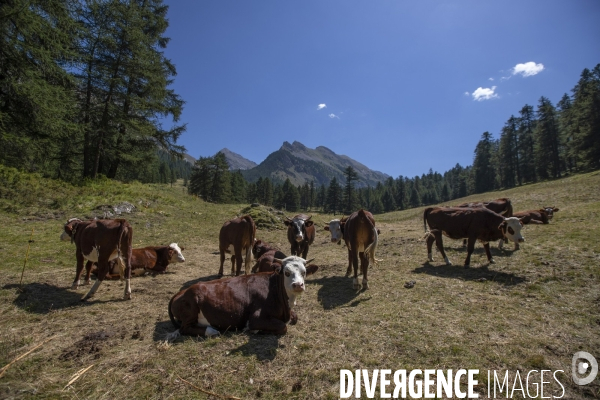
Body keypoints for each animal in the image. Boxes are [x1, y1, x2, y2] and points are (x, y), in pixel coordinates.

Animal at [165, 256, 318, 338]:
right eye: (286, 272)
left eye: (304, 272)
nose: (298, 285)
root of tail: (182, 292)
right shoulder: (256, 318)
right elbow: (282, 326)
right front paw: (254, 330)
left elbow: (294, 318)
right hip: (191, 310)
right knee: (185, 328)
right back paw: (212, 331)